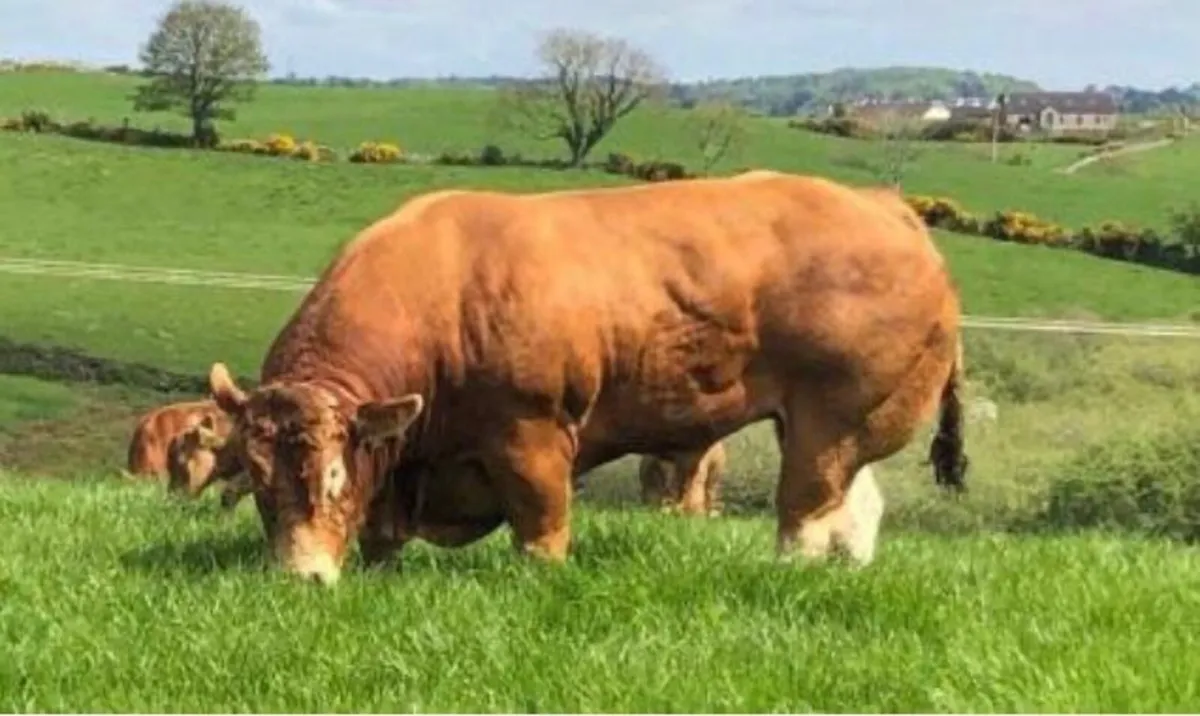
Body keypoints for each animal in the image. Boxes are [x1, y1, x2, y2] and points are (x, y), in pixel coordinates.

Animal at [205, 170, 968, 585]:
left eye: (333, 476)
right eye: (257, 484)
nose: (300, 579)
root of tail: (883, 204)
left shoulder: (531, 437)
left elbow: (541, 528)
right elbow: (383, 534)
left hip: (830, 422)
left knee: (806, 512)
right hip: (837, 425)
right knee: (855, 507)